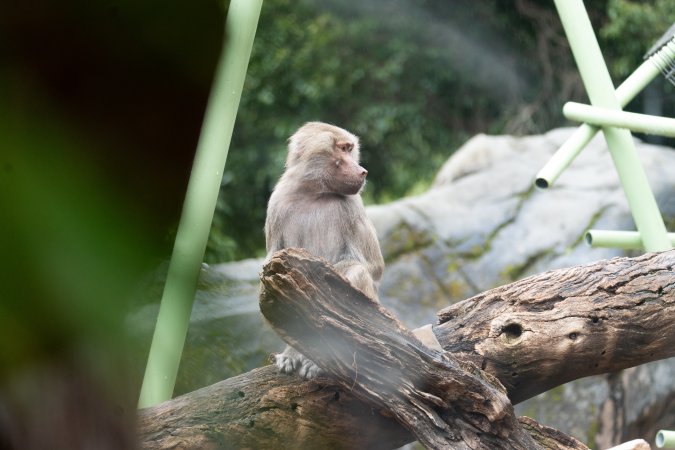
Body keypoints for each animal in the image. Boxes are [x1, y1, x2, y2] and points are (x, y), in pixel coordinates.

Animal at [264, 121, 385, 379]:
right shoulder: (276, 204)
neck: (313, 193)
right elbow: (270, 270)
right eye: (341, 149)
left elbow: (371, 267)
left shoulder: (352, 205)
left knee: (356, 272)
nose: (362, 172)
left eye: (350, 148)